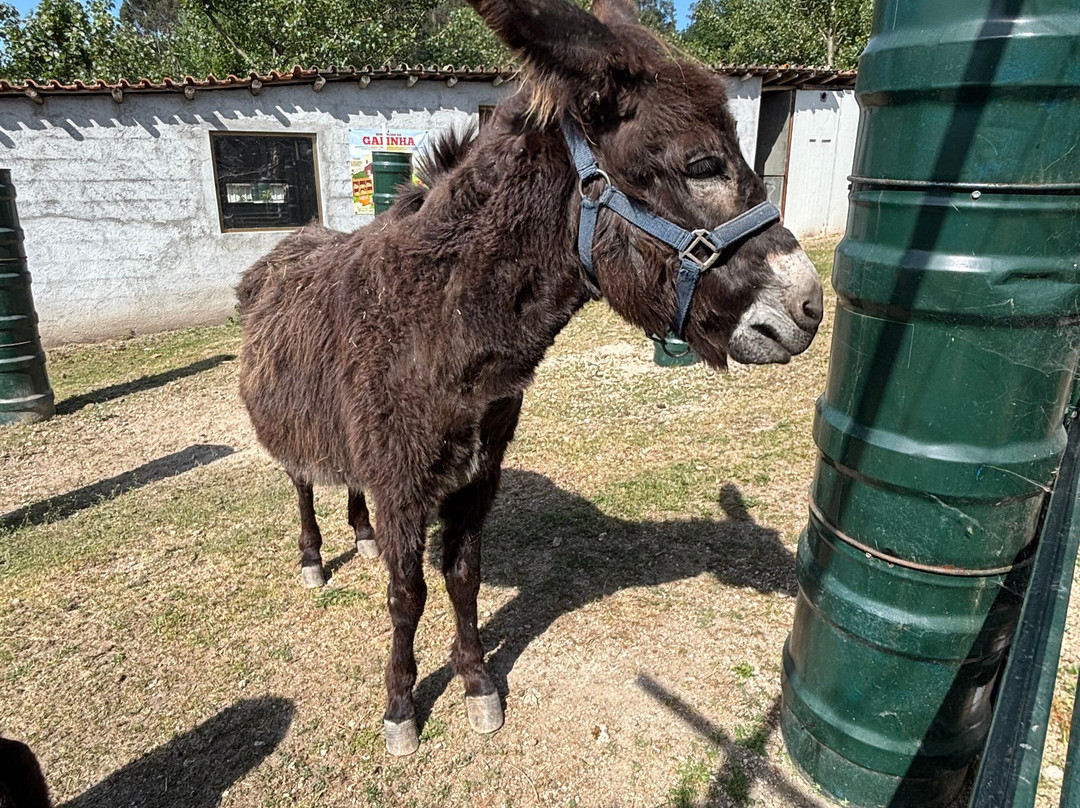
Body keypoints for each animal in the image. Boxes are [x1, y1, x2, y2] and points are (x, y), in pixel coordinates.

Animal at [237, 0, 823, 756]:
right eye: (702, 165)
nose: (812, 308)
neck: (439, 322)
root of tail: (291, 242)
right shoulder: (404, 482)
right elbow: (407, 596)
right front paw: (400, 705)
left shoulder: (476, 476)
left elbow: (462, 578)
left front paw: (477, 682)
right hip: (292, 432)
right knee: (303, 485)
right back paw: (313, 556)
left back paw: (360, 535)